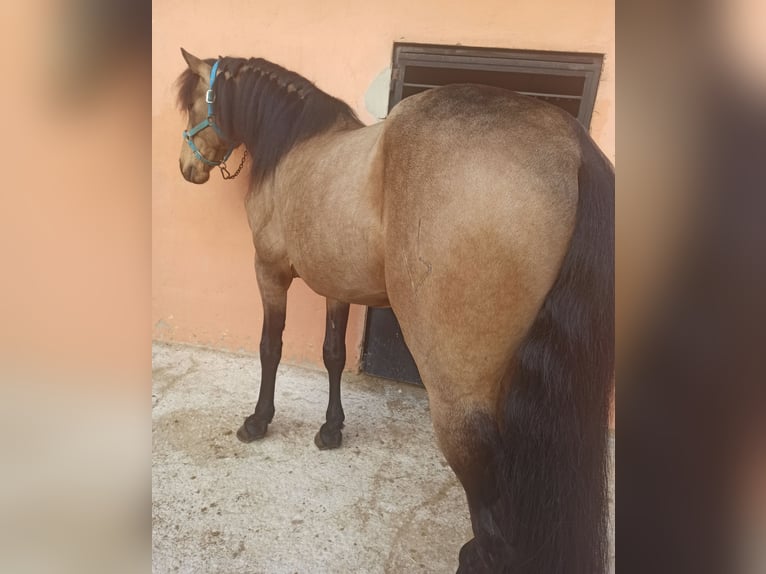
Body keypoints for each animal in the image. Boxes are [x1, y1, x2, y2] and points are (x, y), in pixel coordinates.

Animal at [175, 47, 614, 574]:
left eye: (194, 105)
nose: (186, 167)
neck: (295, 147)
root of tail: (573, 148)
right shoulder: (337, 286)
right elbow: (334, 355)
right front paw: (331, 429)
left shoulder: (270, 273)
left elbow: (270, 348)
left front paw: (259, 422)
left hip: (458, 391)